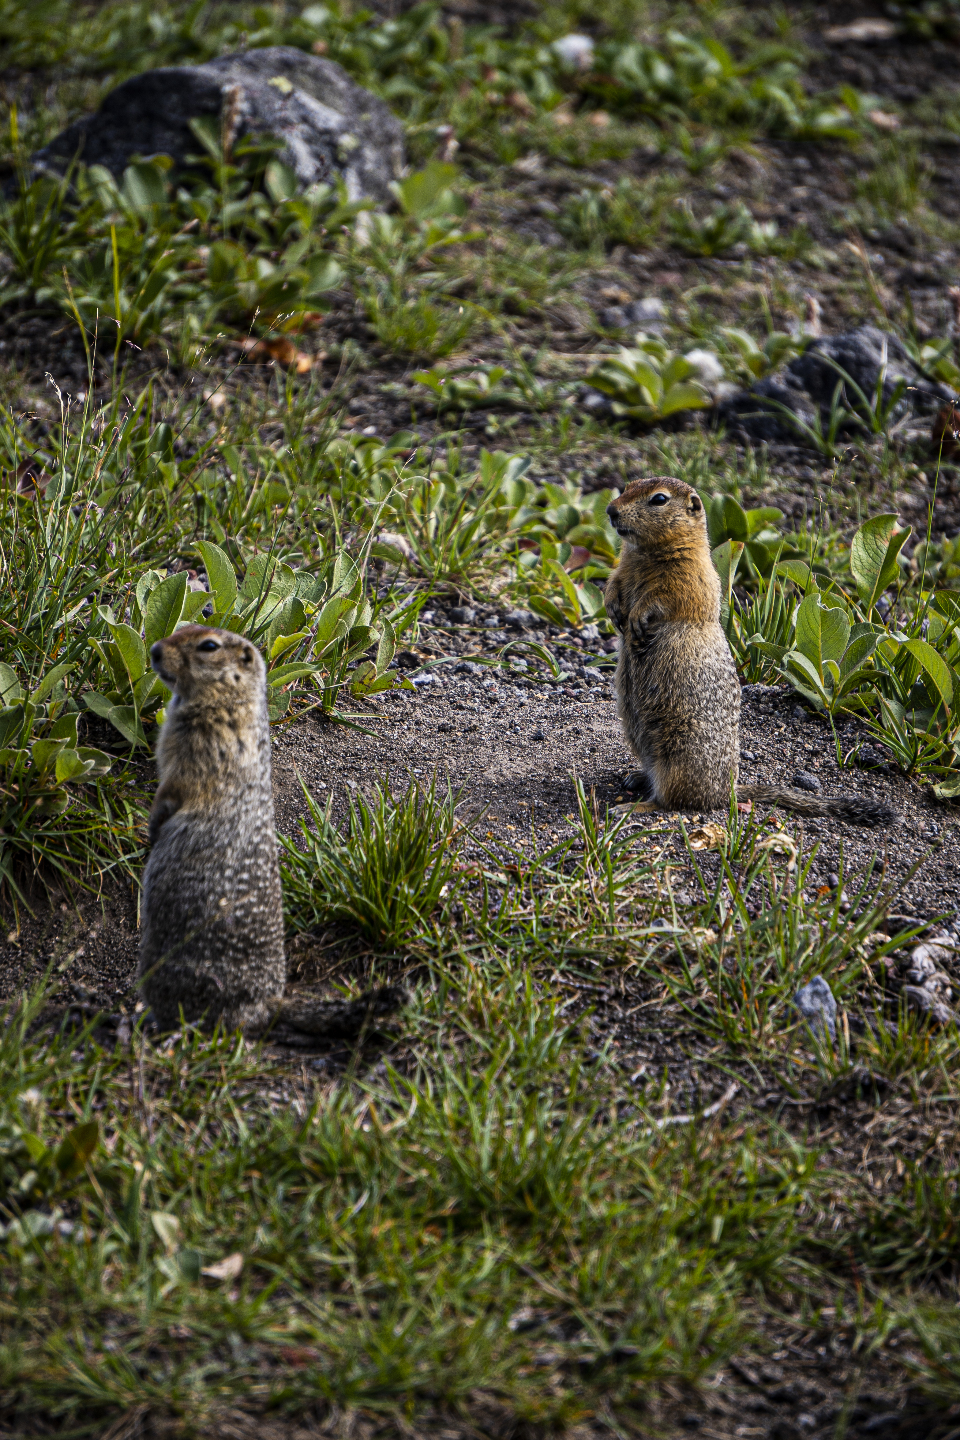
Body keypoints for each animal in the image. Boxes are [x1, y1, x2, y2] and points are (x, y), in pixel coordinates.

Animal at [138, 624, 402, 1042]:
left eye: (208, 646)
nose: (155, 651)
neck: (230, 698)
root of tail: (268, 1004)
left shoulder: (204, 749)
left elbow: (177, 788)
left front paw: (153, 826)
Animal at [607, 478, 903, 829]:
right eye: (627, 486)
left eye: (659, 499)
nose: (610, 510)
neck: (644, 552)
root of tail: (729, 792)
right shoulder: (624, 567)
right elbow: (614, 581)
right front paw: (613, 608)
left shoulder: (688, 577)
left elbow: (666, 596)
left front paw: (638, 616)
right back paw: (636, 778)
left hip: (678, 759)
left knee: (670, 801)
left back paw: (631, 807)